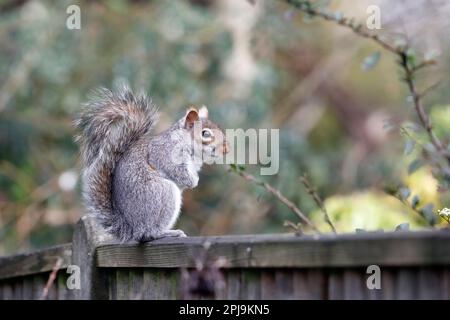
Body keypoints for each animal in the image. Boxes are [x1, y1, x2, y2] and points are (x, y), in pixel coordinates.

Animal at [75, 86, 229, 241]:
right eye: (205, 133)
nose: (226, 149)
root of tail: (133, 229)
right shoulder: (164, 152)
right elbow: (174, 170)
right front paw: (193, 181)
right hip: (162, 194)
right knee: (150, 232)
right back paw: (167, 232)